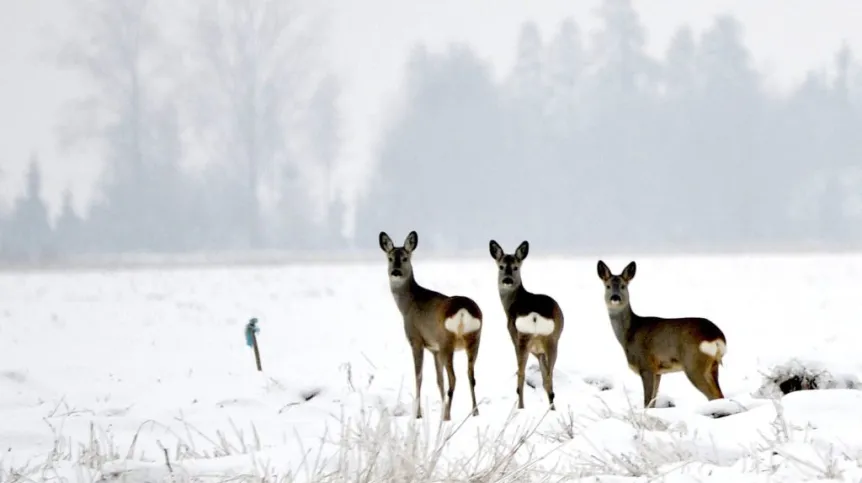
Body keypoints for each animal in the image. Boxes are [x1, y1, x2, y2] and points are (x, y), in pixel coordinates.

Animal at [380, 231, 486, 420]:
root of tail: (463, 310)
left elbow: (419, 376)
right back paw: (474, 412)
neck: (408, 304)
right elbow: (439, 380)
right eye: (390, 258)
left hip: (447, 341)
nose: (395, 272)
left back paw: (447, 416)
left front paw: (418, 414)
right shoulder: (434, 349)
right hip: (474, 338)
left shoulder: (416, 339)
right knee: (470, 376)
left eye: (405, 258)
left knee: (454, 378)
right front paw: (441, 406)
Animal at [492, 240, 568, 410]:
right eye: (501, 266)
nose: (507, 280)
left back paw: (521, 407)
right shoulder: (540, 351)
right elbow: (545, 377)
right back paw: (552, 408)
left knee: (521, 375)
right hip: (552, 340)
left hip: (522, 339)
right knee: (549, 378)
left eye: (516, 267)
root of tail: (534, 314)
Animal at [600, 260, 728, 408]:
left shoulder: (646, 366)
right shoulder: (658, 372)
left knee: (713, 396)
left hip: (694, 364)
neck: (630, 333)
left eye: (623, 286)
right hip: (713, 365)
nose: (615, 297)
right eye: (607, 286)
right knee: (720, 395)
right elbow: (652, 402)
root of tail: (717, 337)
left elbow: (647, 402)